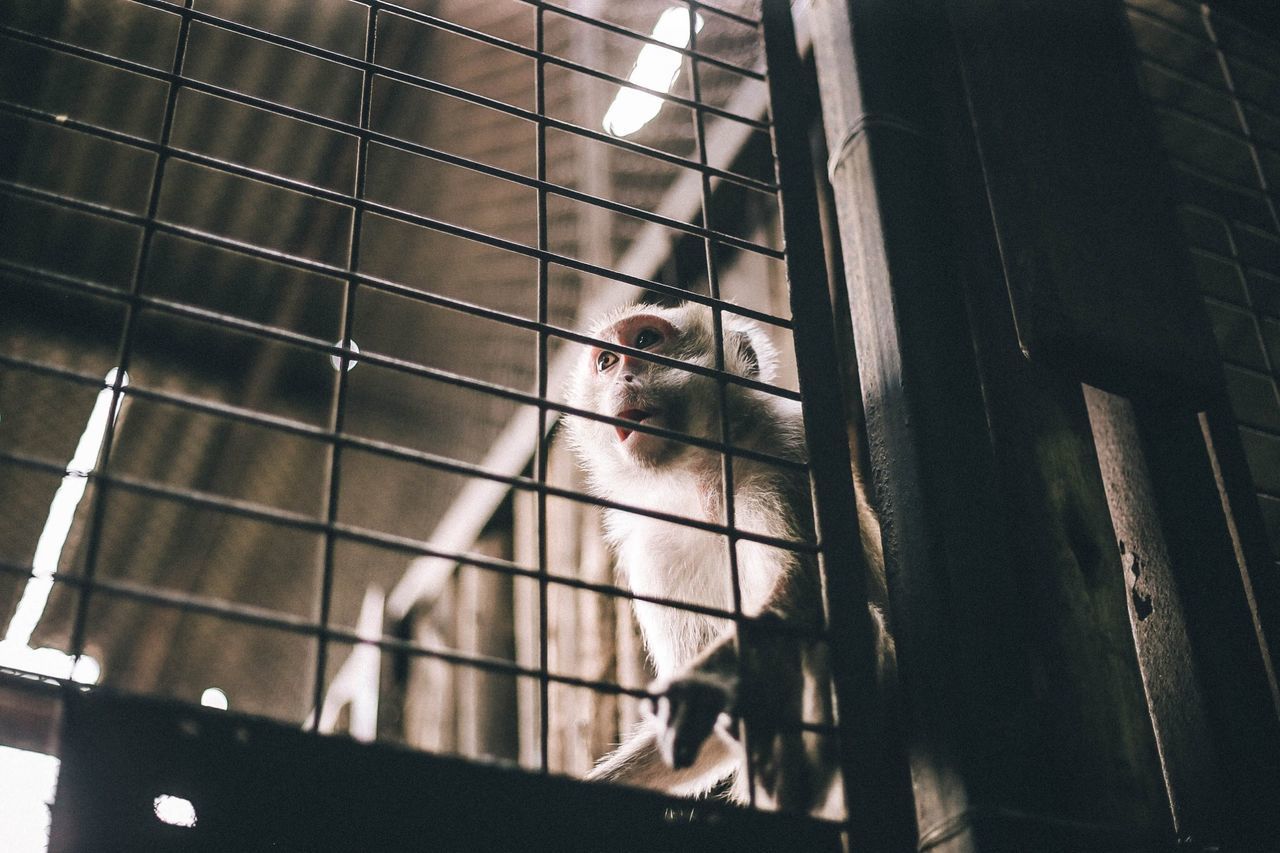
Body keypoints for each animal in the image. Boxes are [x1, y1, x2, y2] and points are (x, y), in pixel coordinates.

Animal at [563, 298, 890, 809]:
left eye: (645, 341)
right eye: (606, 362)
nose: (624, 377)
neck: (701, 481)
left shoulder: (786, 454)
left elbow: (812, 594)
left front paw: (703, 684)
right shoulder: (652, 545)